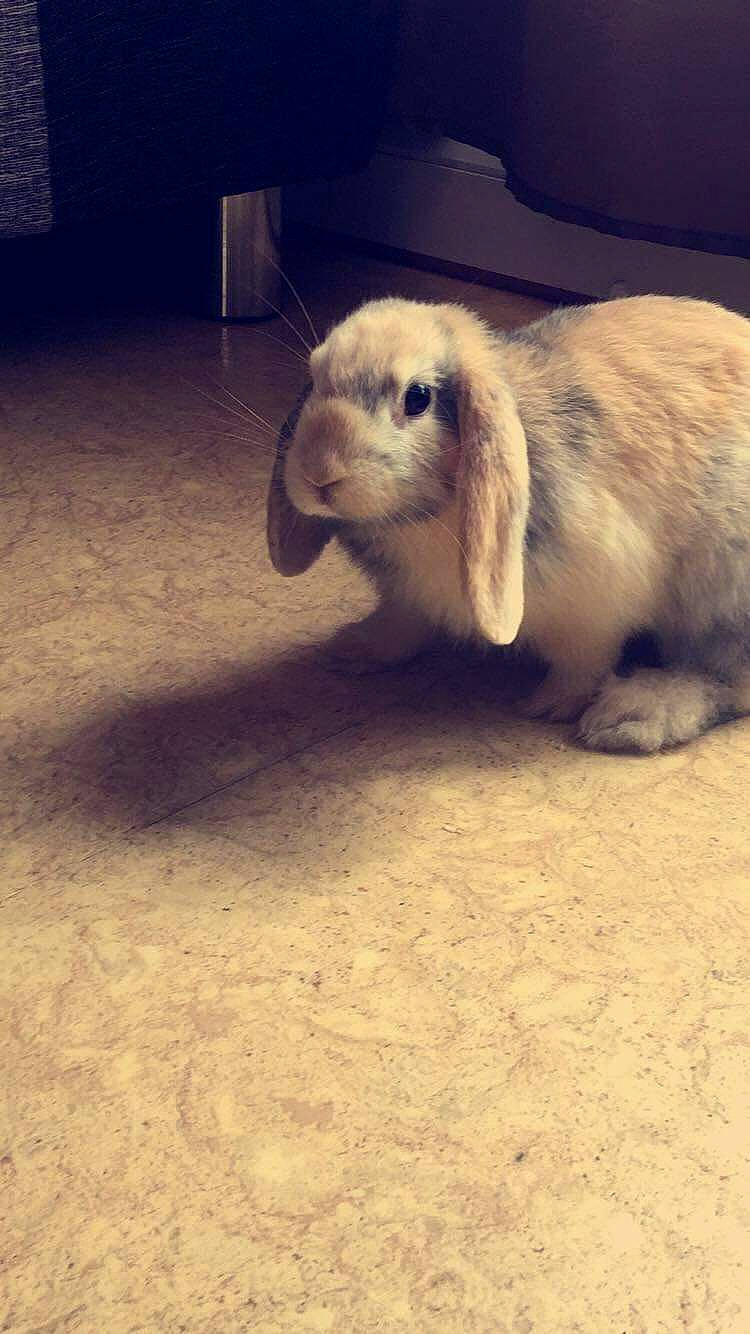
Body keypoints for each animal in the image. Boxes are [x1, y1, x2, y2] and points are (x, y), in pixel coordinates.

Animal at [267, 294, 750, 752]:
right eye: (315, 377)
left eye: (418, 397)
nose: (320, 475)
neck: (425, 514)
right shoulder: (407, 594)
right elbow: (401, 623)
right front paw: (353, 650)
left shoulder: (595, 604)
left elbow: (584, 662)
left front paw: (551, 704)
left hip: (716, 599)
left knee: (728, 680)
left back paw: (632, 715)